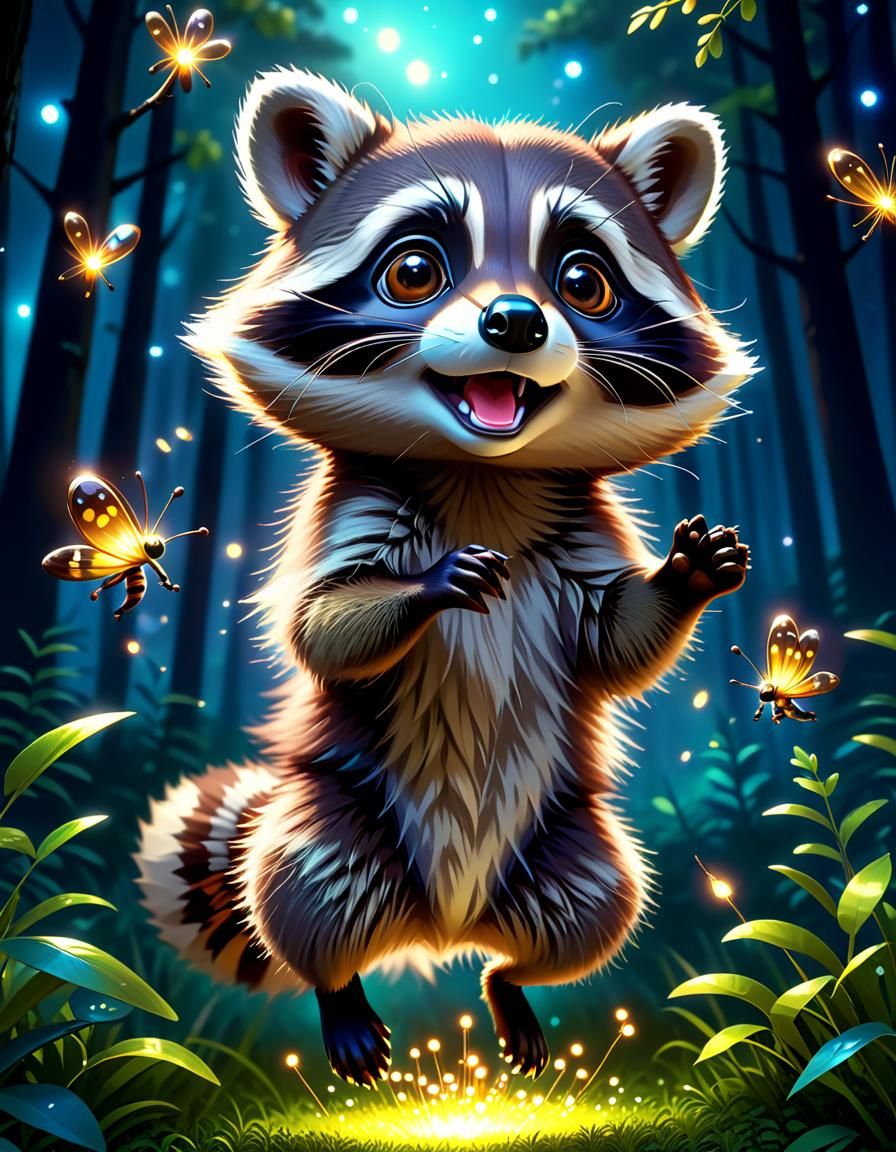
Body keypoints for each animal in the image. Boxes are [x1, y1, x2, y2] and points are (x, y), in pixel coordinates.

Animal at [136, 69, 754, 1085]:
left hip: (569, 845)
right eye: (415, 269)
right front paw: (424, 588)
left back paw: (512, 986)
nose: (515, 322)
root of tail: (441, 923)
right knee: (300, 890)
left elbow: (612, 637)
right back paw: (339, 992)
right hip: (337, 817)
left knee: (596, 912)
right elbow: (324, 622)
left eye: (581, 280)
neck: (484, 475)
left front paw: (684, 579)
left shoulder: (579, 531)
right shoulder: (354, 509)